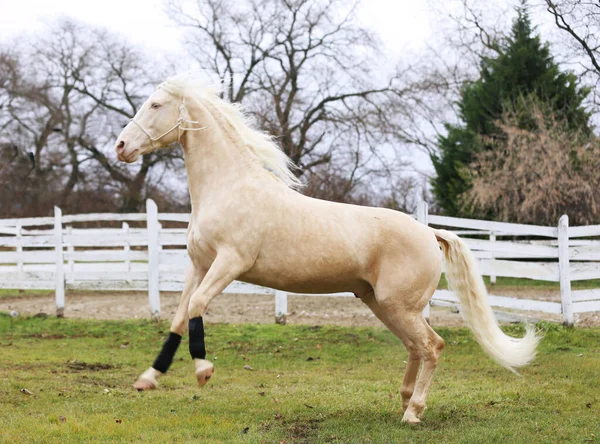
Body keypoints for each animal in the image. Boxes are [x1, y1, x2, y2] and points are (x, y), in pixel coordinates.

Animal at [113, 73, 540, 424]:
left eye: (155, 104)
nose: (121, 146)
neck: (229, 188)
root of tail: (430, 233)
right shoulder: (199, 266)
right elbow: (179, 316)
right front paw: (148, 378)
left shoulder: (230, 263)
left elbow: (197, 306)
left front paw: (203, 371)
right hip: (383, 304)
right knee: (416, 347)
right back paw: (404, 401)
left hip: (398, 305)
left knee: (433, 346)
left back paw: (413, 412)